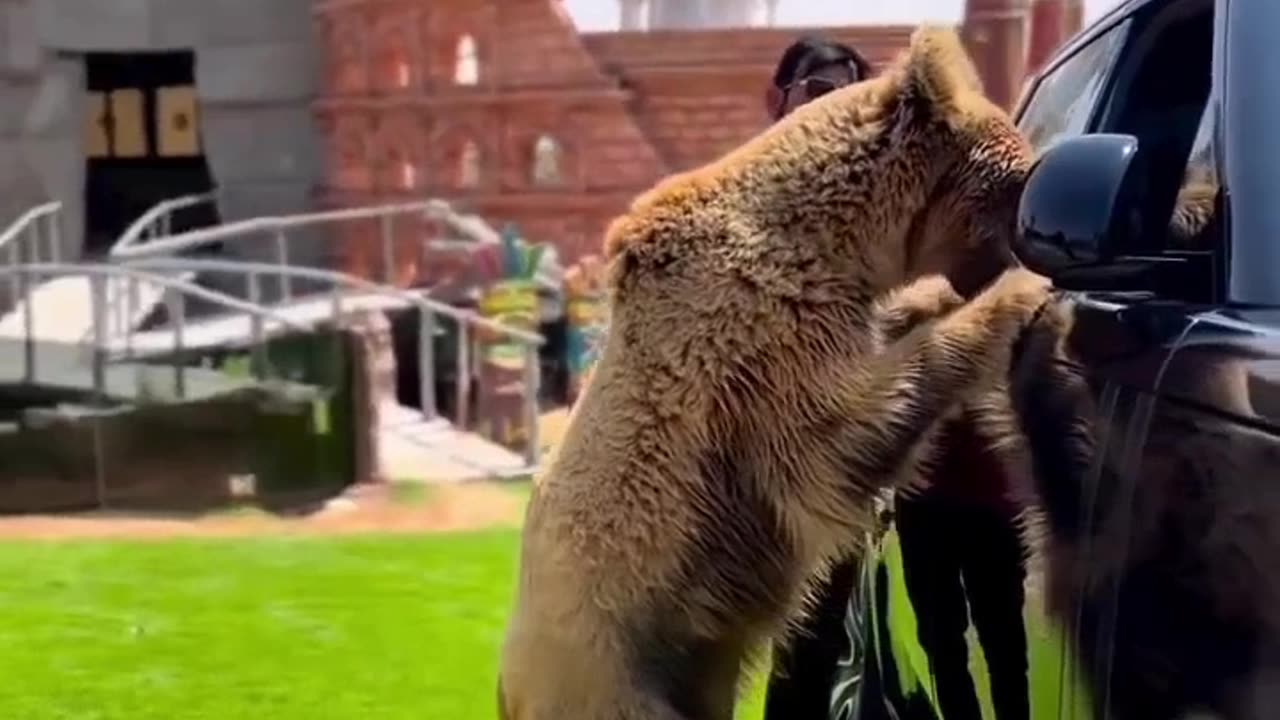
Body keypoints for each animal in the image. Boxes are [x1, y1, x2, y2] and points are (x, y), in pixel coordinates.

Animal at [499, 23, 1049, 717]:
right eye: (1022, 172)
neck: (832, 239)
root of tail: (507, 689)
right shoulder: (750, 348)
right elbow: (845, 428)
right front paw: (1017, 291)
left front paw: (927, 299)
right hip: (613, 668)